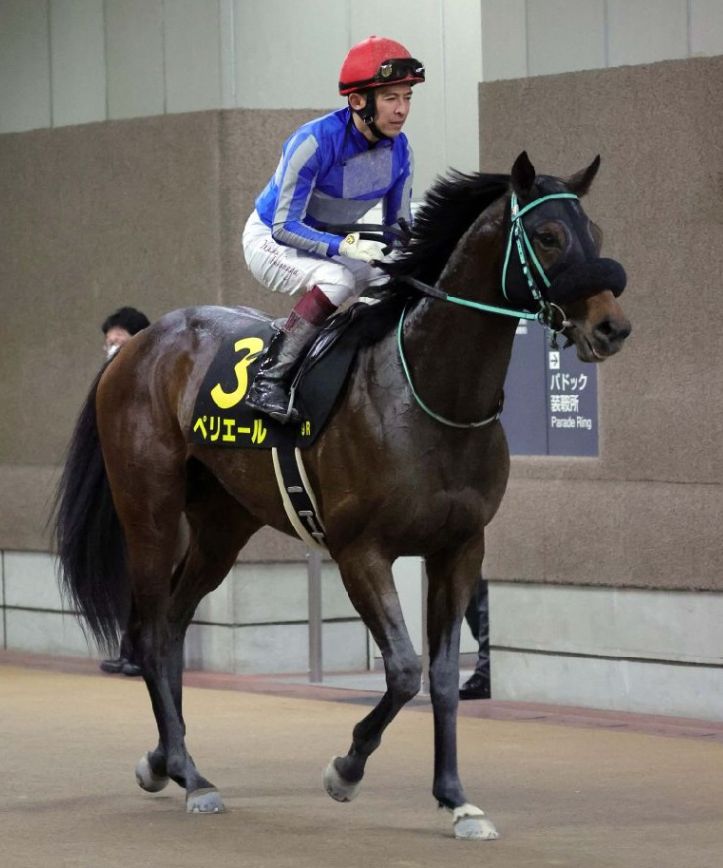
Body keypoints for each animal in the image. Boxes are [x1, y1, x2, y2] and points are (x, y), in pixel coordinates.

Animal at [55, 153, 632, 836]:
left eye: (593, 230)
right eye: (546, 236)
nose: (612, 326)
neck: (427, 395)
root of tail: (134, 349)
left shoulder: (460, 548)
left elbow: (441, 675)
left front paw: (455, 797)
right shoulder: (362, 551)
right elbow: (404, 669)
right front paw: (346, 770)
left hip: (223, 523)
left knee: (170, 626)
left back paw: (167, 761)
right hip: (150, 511)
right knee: (147, 632)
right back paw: (190, 777)